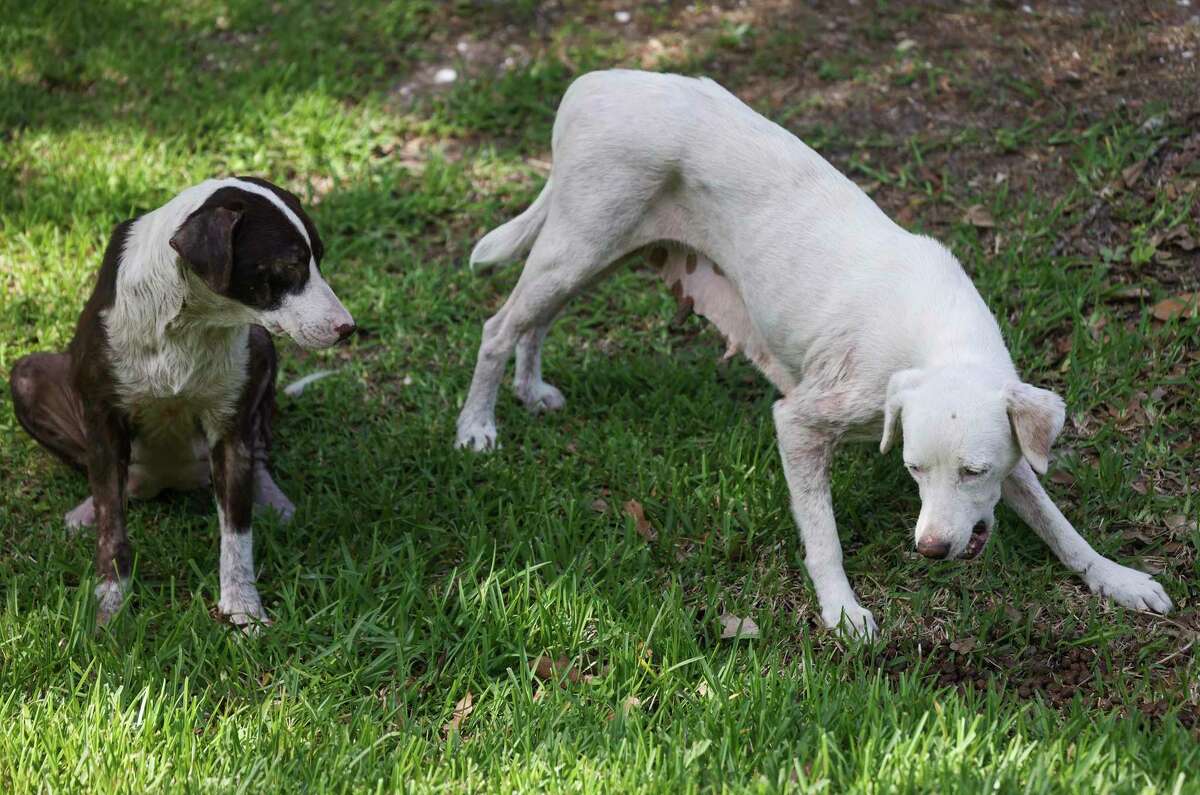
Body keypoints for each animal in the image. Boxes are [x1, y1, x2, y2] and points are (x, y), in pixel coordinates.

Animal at [11, 177, 352, 634]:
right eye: (291, 265)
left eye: (319, 258)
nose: (348, 328)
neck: (191, 318)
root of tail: (167, 479)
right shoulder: (104, 418)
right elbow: (111, 525)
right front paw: (110, 604)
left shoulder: (229, 429)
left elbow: (237, 536)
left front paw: (243, 609)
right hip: (27, 378)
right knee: (106, 481)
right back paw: (89, 508)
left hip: (260, 346)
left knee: (258, 453)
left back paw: (271, 498)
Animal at [456, 69, 1171, 643]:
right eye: (912, 469)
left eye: (973, 471)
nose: (931, 549)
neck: (938, 340)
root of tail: (589, 84)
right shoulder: (800, 423)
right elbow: (823, 537)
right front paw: (843, 612)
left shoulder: (1012, 448)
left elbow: (1059, 525)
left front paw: (1117, 579)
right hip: (578, 246)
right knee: (498, 326)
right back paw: (477, 427)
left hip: (596, 254)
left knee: (537, 322)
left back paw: (531, 391)